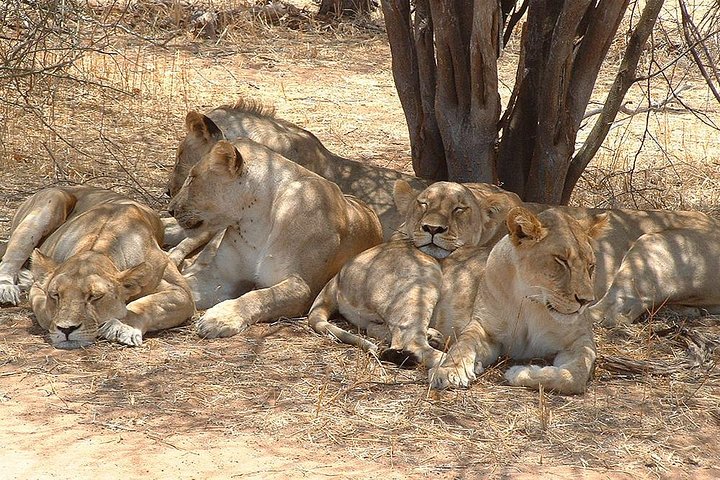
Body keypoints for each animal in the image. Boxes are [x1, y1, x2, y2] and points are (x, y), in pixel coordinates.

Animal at [0, 186, 195, 349]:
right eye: (55, 295)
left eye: (95, 296)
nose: (66, 329)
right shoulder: (40, 287)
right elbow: (43, 312)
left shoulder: (181, 292)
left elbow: (147, 306)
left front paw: (121, 327)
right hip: (52, 200)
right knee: (9, 260)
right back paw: (7, 289)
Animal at [167, 139, 383, 338]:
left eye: (192, 178)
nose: (170, 209)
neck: (255, 222)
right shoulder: (222, 276)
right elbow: (186, 284)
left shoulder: (302, 286)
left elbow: (259, 296)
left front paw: (220, 318)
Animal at [306, 180, 513, 368]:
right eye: (424, 204)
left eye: (459, 209)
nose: (432, 228)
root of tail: (338, 275)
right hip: (422, 273)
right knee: (409, 341)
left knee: (380, 329)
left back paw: (433, 336)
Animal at [430, 207, 607, 395]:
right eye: (561, 260)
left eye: (591, 265)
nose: (586, 301)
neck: (530, 300)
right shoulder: (485, 328)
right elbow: (463, 344)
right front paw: (449, 370)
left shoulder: (581, 340)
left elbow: (576, 375)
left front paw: (520, 372)